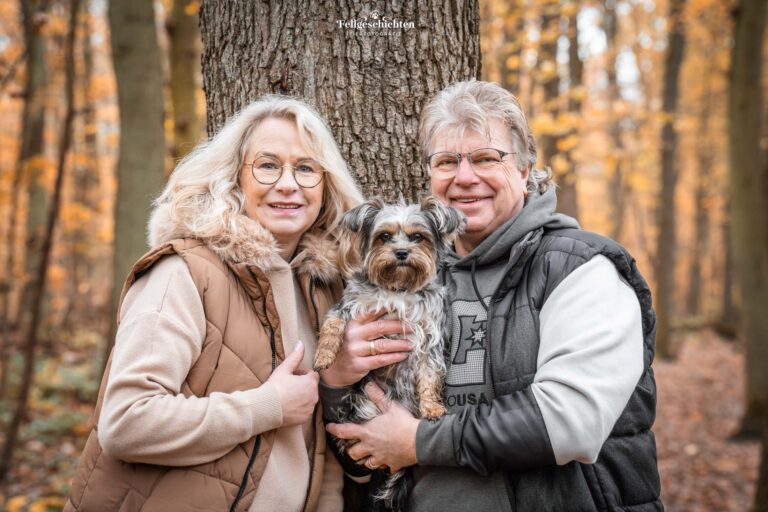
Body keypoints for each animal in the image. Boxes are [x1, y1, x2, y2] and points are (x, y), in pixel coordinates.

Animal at [316, 195, 464, 508]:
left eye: (417, 237)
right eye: (384, 236)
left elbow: (430, 374)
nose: (401, 253)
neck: (397, 289)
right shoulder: (350, 306)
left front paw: (432, 407)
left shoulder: (429, 337)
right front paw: (324, 355)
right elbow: (333, 323)